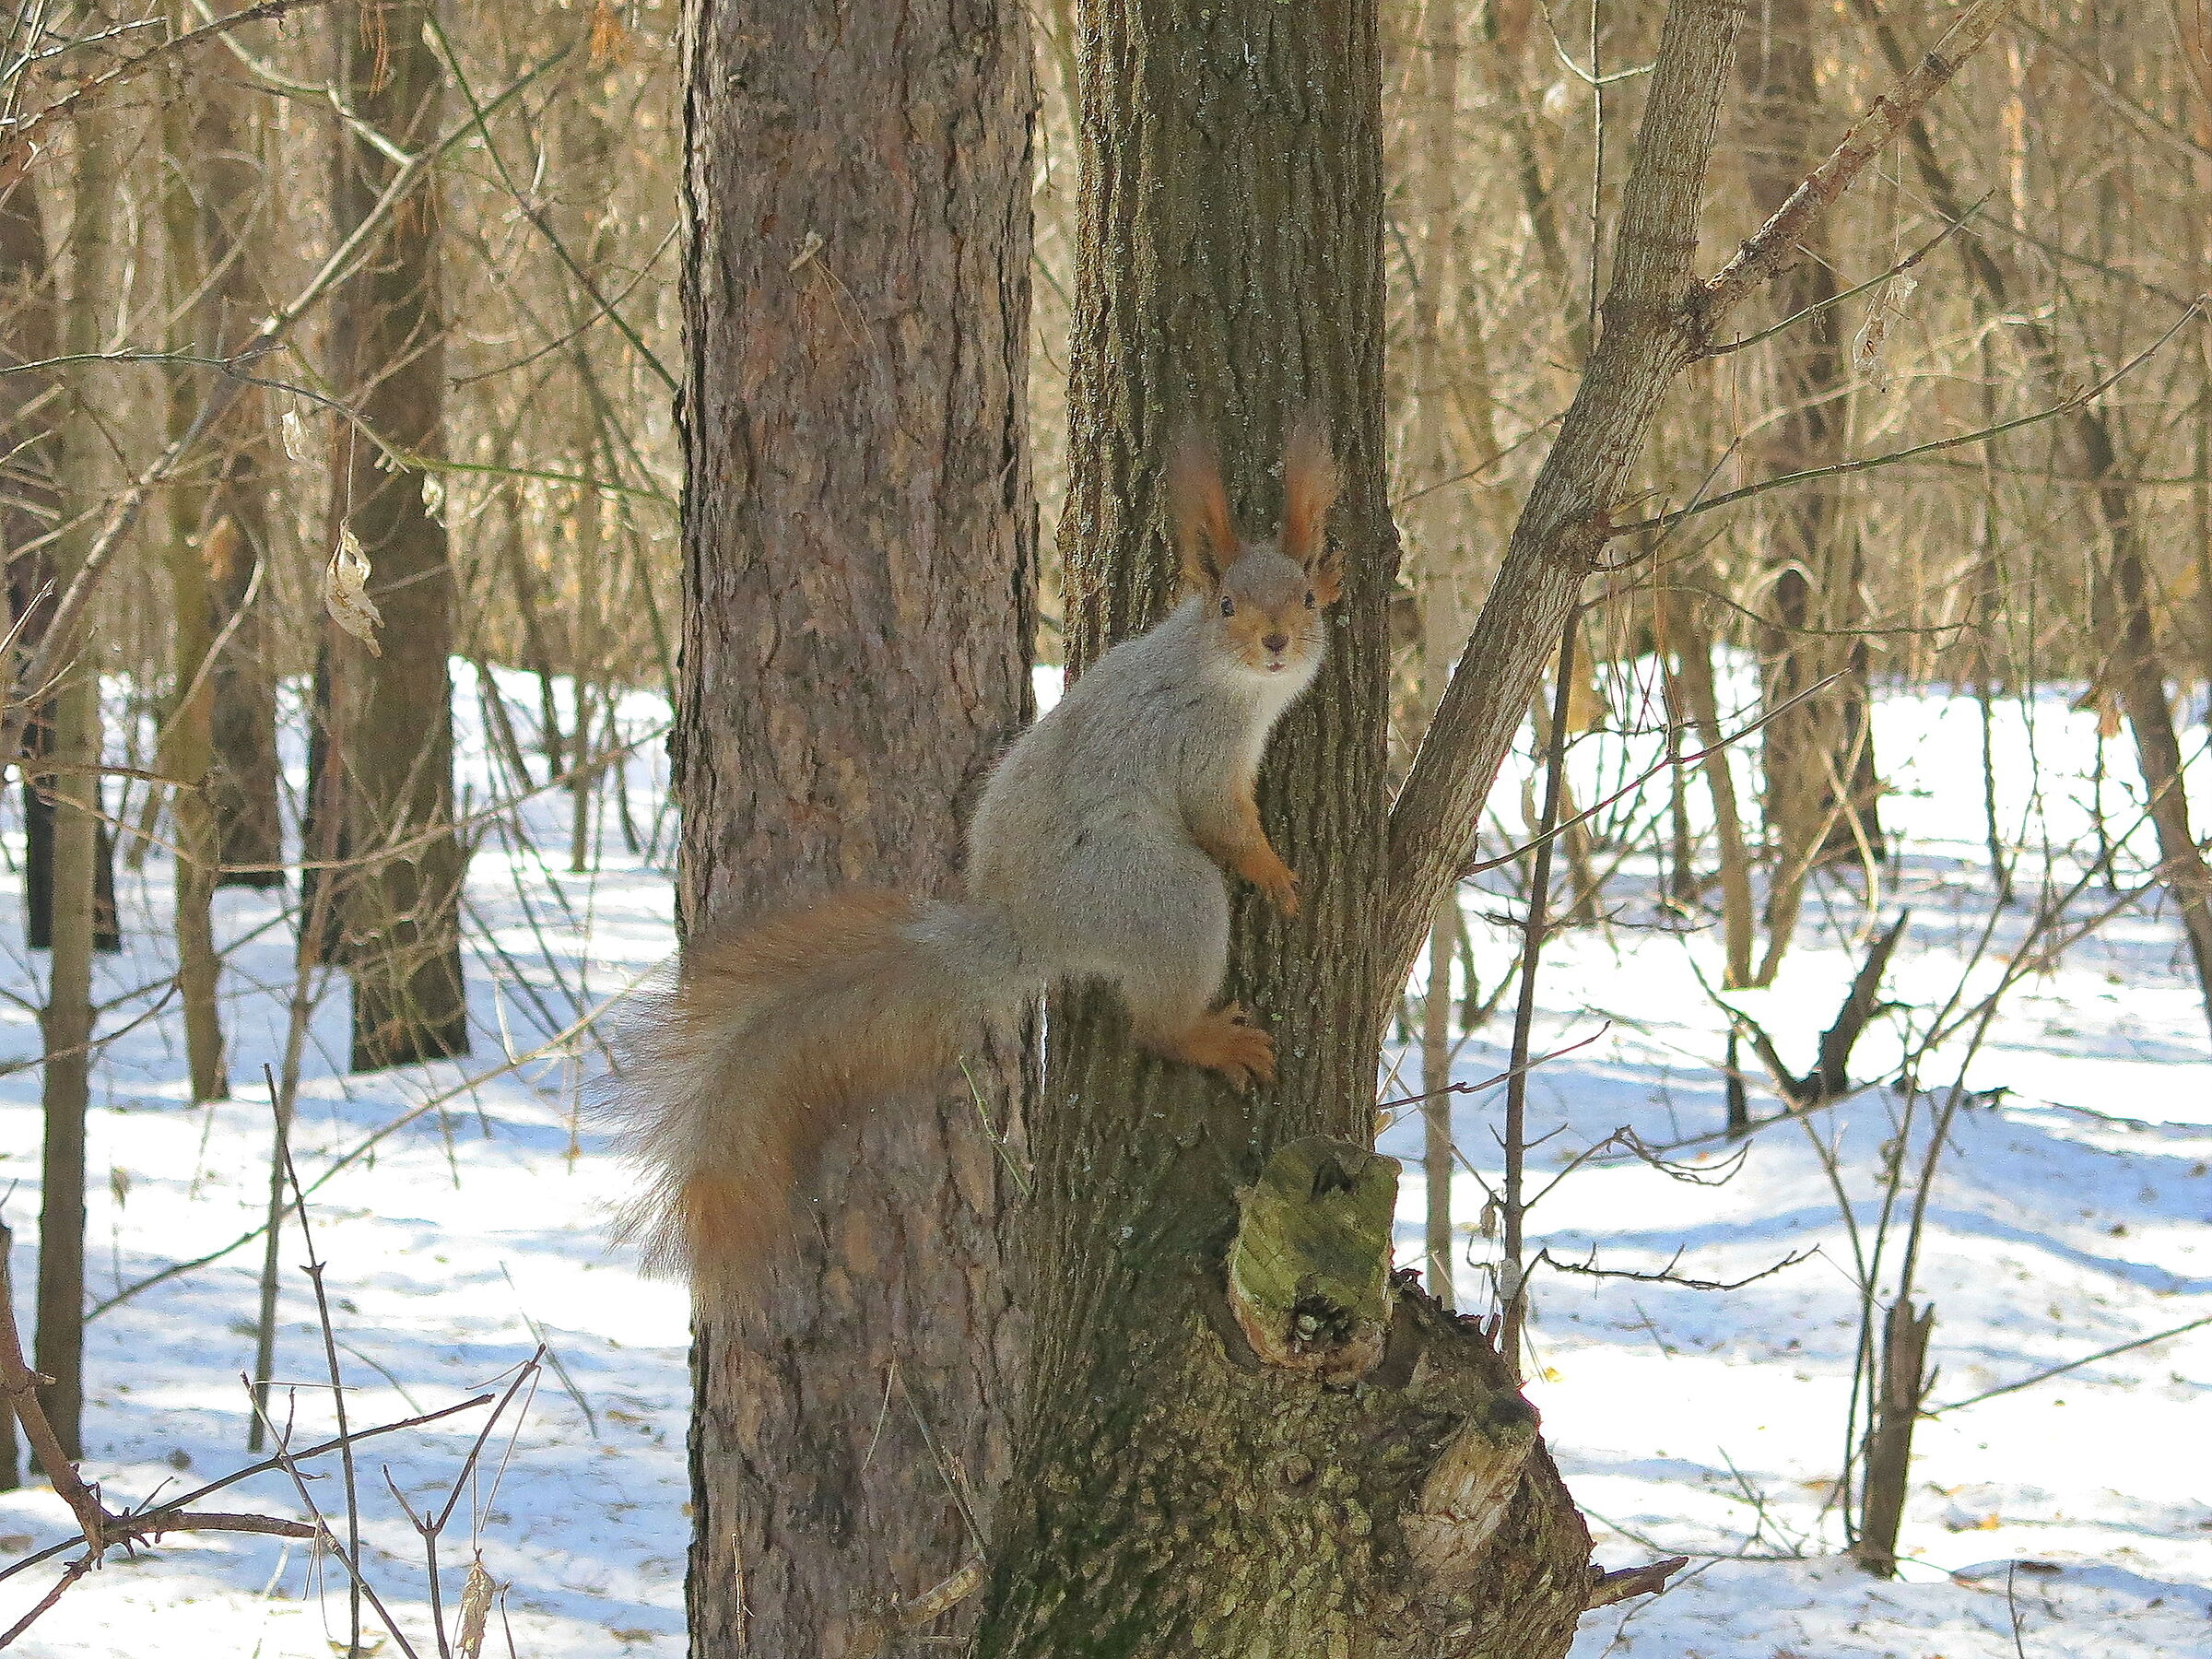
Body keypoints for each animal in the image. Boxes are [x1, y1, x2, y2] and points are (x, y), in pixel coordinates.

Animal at [609, 422, 1342, 1296]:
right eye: (1227, 604)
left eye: (1302, 601)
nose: (1276, 643)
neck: (1222, 675)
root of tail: (1024, 926)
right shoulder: (1198, 750)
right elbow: (1223, 825)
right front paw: (1272, 870)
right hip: (1162, 895)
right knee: (1156, 1022)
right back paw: (1208, 1039)